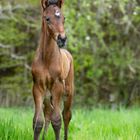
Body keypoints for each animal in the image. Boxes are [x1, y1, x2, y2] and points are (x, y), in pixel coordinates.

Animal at [31, 0, 74, 140]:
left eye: (64, 18)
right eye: (47, 18)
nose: (62, 39)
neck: (46, 59)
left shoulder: (57, 86)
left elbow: (57, 120)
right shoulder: (37, 87)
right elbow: (37, 121)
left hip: (68, 92)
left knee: (66, 115)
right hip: (47, 95)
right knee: (48, 113)